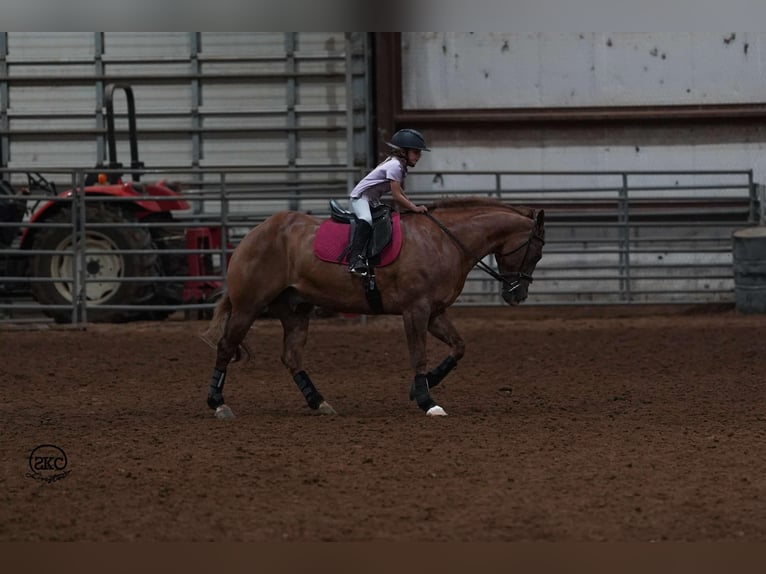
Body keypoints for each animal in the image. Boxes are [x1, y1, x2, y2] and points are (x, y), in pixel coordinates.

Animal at [201, 198, 544, 418]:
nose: (518, 295)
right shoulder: (415, 310)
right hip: (249, 307)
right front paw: (426, 401)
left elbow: (458, 348)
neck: (444, 240)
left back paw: (319, 402)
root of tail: (255, 233)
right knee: (225, 347)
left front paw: (421, 387)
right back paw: (218, 403)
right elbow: (418, 356)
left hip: (295, 310)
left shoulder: (434, 312)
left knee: (291, 356)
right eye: (536, 252)